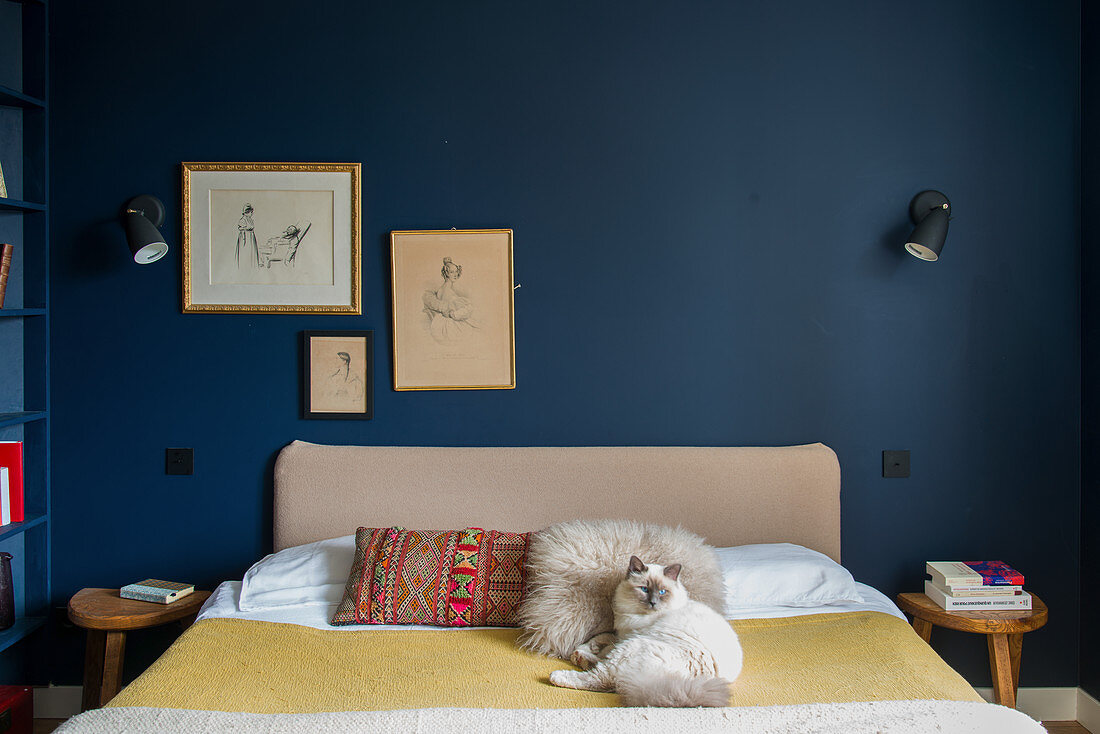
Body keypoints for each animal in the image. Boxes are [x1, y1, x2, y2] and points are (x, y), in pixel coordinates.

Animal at [547, 556, 743, 704]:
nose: (653, 602)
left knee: (602, 679)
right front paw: (590, 647)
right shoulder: (621, 634)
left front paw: (590, 649)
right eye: (644, 589)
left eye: (662, 592)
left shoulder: (628, 636)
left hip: (632, 647)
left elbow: (604, 642)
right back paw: (580, 657)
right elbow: (602, 637)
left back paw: (561, 672)